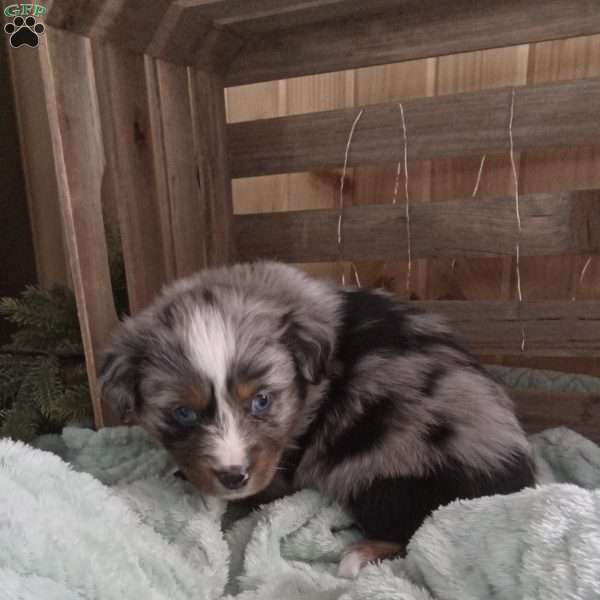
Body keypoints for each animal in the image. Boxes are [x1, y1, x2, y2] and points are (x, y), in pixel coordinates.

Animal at [98, 262, 536, 576]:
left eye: (261, 401)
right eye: (183, 413)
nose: (233, 476)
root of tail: (517, 485)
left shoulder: (284, 459)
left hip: (385, 470)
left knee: (414, 532)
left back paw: (356, 555)